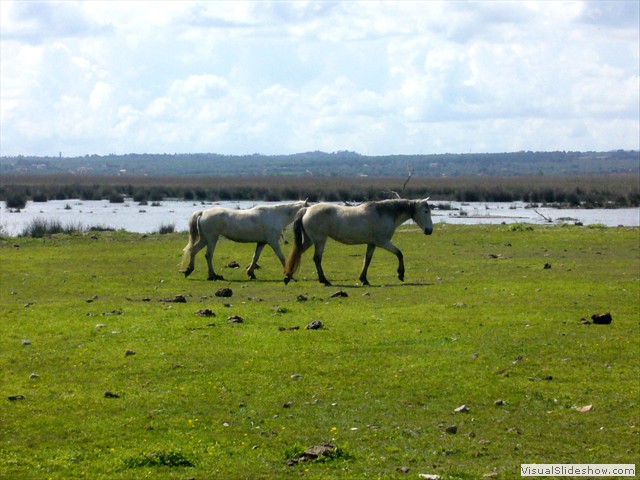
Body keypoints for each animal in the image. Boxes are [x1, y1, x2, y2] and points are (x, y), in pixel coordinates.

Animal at [284, 198, 433, 286]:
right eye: (426, 211)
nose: (429, 230)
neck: (384, 213)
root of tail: (306, 209)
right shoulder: (383, 242)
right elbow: (399, 254)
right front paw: (401, 274)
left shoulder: (372, 244)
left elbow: (367, 260)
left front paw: (364, 279)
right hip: (320, 240)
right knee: (317, 258)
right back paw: (324, 280)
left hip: (310, 240)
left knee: (298, 253)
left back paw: (288, 276)